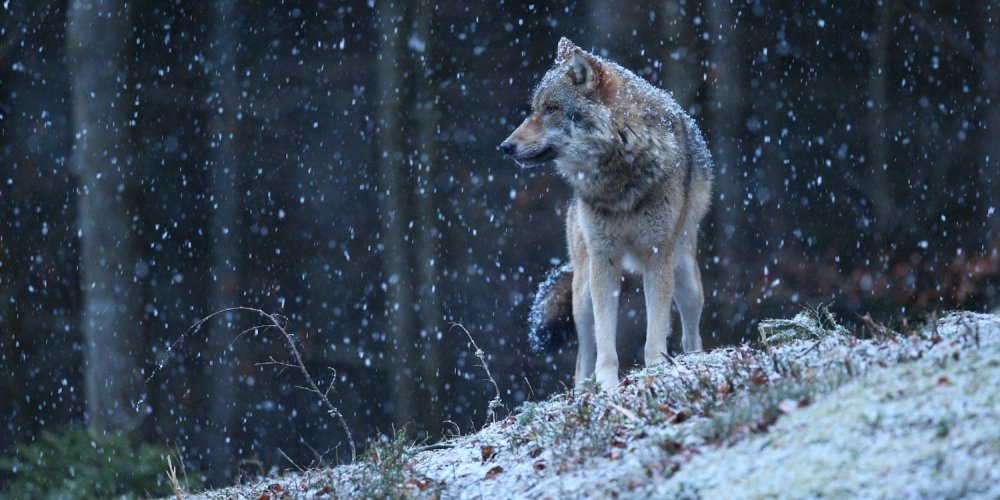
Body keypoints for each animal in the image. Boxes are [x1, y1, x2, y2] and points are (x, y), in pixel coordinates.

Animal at [500, 38, 712, 390]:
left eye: (551, 109)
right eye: (534, 108)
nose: (504, 147)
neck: (619, 174)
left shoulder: (657, 256)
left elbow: (656, 330)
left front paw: (656, 369)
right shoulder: (604, 259)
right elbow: (605, 339)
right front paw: (609, 383)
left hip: (686, 278)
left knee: (691, 335)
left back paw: (693, 361)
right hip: (582, 291)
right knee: (582, 356)